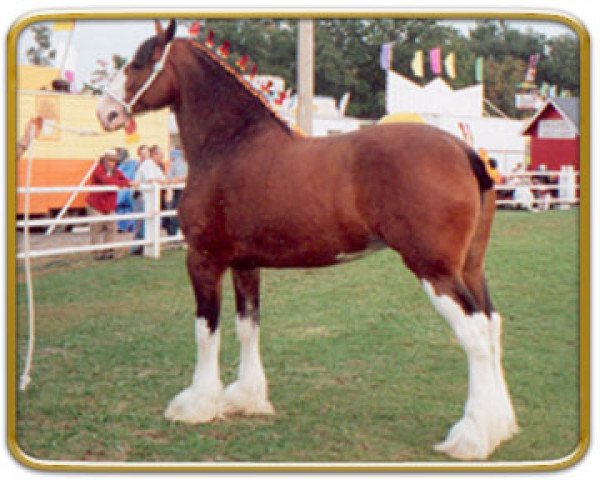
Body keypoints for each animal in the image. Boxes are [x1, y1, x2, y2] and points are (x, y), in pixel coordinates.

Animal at [96, 20, 516, 460]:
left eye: (139, 62)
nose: (105, 112)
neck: (231, 144)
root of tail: (466, 151)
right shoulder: (245, 264)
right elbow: (248, 326)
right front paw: (247, 398)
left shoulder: (203, 259)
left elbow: (206, 329)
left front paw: (197, 404)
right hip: (470, 268)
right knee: (492, 326)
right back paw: (499, 426)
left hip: (435, 270)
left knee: (474, 336)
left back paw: (471, 437)